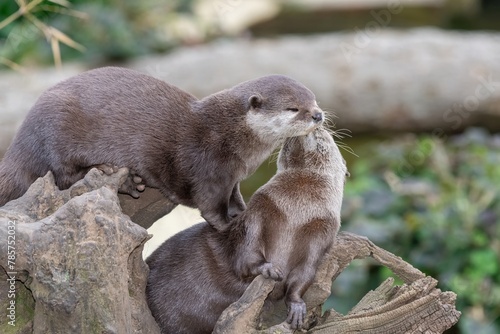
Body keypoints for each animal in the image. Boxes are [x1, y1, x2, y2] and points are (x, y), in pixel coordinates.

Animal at [0, 67, 324, 231]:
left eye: (314, 99)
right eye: (293, 108)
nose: (318, 115)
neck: (230, 136)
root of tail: (22, 135)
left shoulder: (232, 176)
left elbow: (235, 198)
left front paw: (242, 212)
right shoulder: (209, 167)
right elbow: (210, 206)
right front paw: (230, 225)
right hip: (57, 128)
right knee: (63, 175)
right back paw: (118, 176)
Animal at [146, 126, 346, 332]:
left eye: (326, 137)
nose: (318, 126)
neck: (296, 213)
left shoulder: (322, 233)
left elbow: (305, 273)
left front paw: (297, 306)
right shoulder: (259, 209)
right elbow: (247, 251)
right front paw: (268, 268)